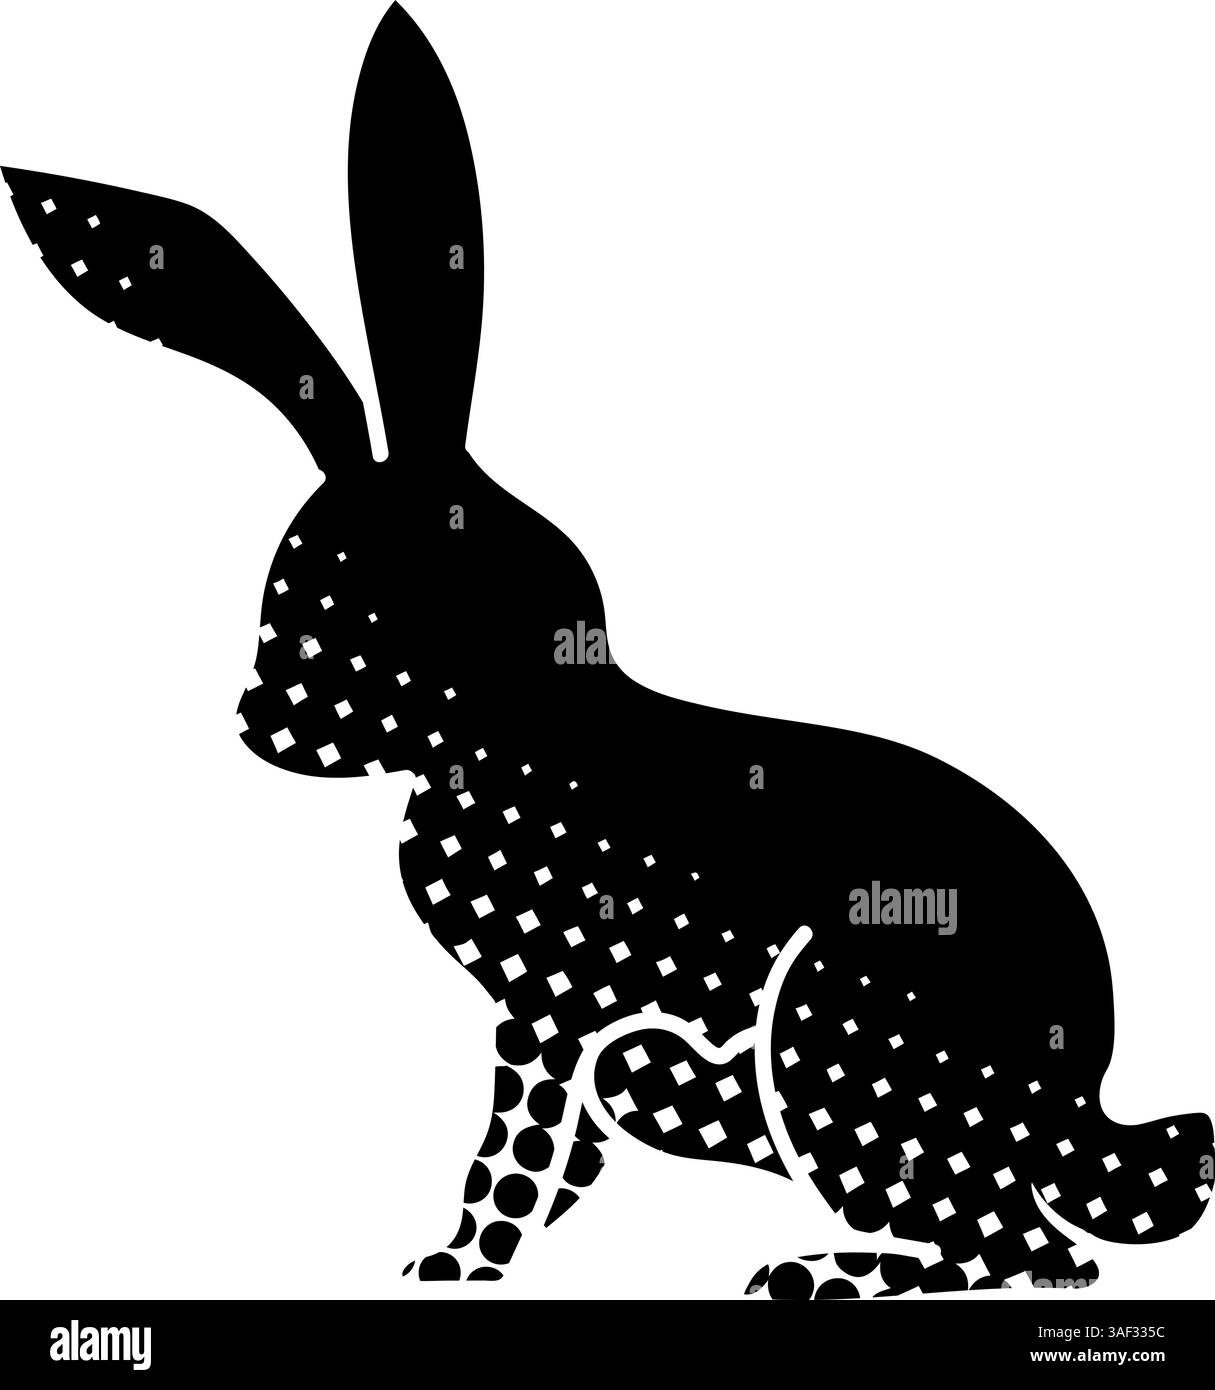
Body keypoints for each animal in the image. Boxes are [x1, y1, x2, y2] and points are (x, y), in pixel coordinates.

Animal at [4, 3, 1210, 1299]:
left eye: (344, 607)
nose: (251, 715)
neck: (527, 719)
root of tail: (1077, 1102)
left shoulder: (552, 1004)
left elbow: (515, 1150)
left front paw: (453, 1267)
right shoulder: (563, 1025)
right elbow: (561, 1158)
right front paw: (469, 1258)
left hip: (832, 1044)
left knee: (1025, 1249)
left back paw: (799, 1275)